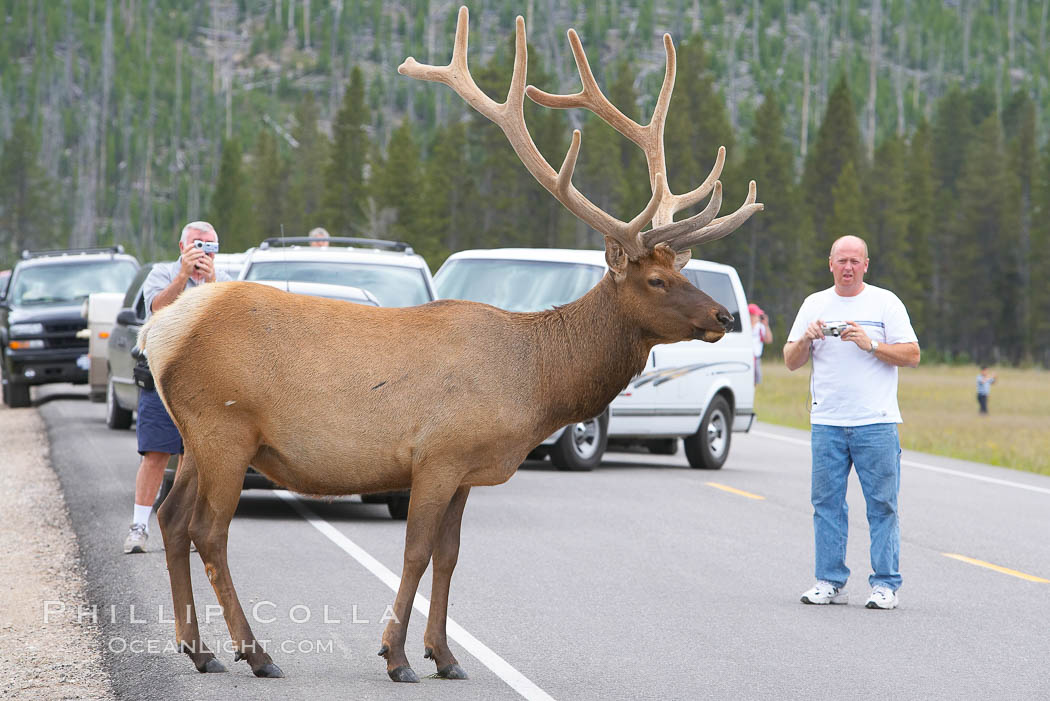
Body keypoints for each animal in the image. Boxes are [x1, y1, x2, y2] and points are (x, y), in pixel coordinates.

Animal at [143, 4, 764, 684]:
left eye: (683, 270)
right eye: (656, 280)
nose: (724, 314)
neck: (535, 382)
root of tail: (161, 330)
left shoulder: (467, 468)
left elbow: (450, 556)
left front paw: (445, 656)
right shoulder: (436, 454)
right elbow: (415, 554)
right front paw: (396, 657)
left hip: (196, 437)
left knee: (172, 521)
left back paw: (199, 649)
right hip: (226, 429)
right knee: (208, 530)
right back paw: (255, 653)